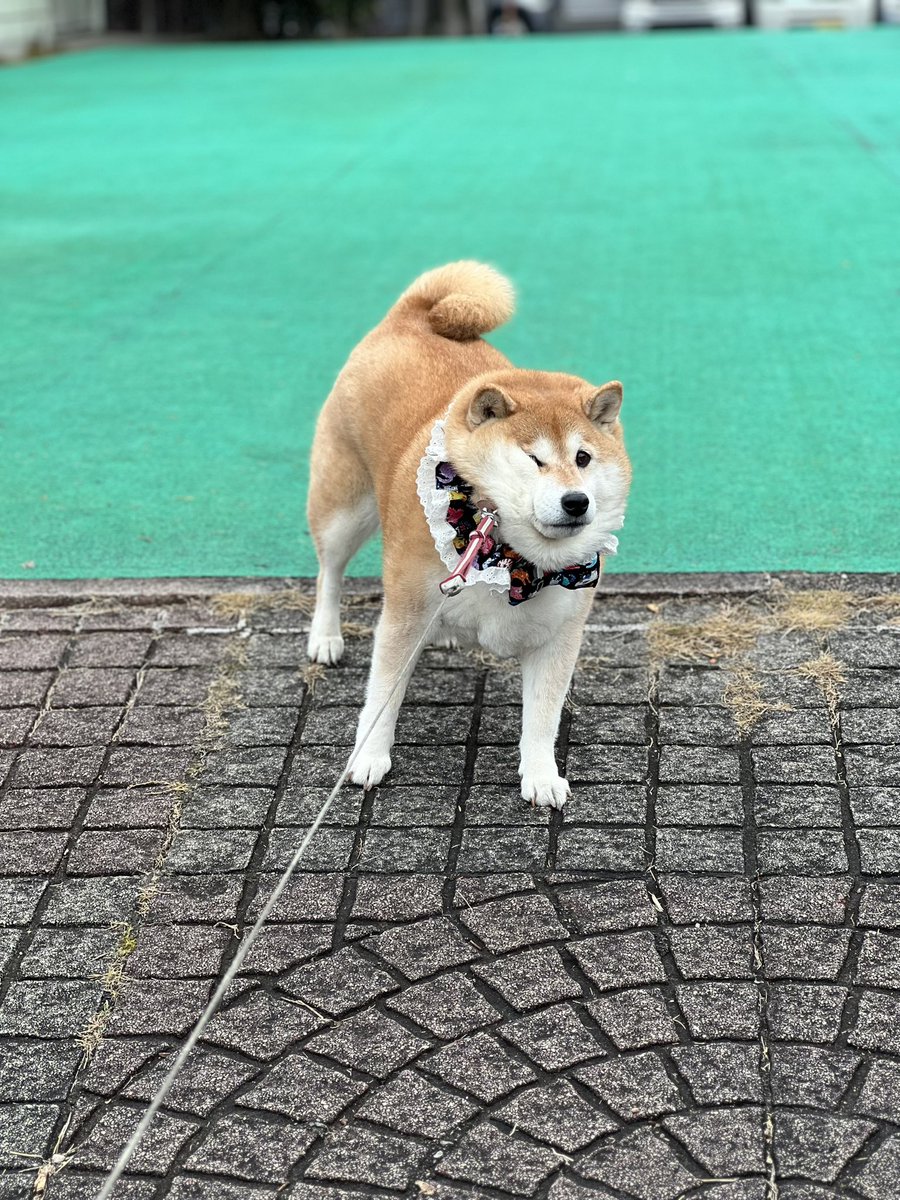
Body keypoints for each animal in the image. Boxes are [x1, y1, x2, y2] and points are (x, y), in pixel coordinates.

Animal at [307, 261, 631, 808]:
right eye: (534, 458)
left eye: (584, 458)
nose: (576, 501)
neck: (508, 554)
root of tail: (412, 315)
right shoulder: (404, 614)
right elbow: (382, 695)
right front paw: (369, 756)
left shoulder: (559, 633)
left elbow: (542, 717)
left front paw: (540, 775)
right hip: (345, 509)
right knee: (329, 572)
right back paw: (324, 636)